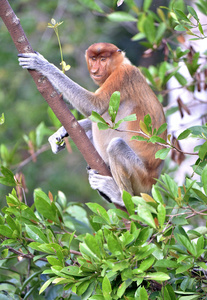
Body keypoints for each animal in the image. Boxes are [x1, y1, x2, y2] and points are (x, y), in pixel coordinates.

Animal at [18, 42, 167, 206]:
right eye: (93, 59)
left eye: (103, 59)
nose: (95, 70)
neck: (119, 64)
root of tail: (153, 181)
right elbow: (94, 116)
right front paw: (60, 134)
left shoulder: (123, 75)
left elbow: (94, 106)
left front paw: (41, 63)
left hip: (141, 178)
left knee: (116, 145)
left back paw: (119, 197)